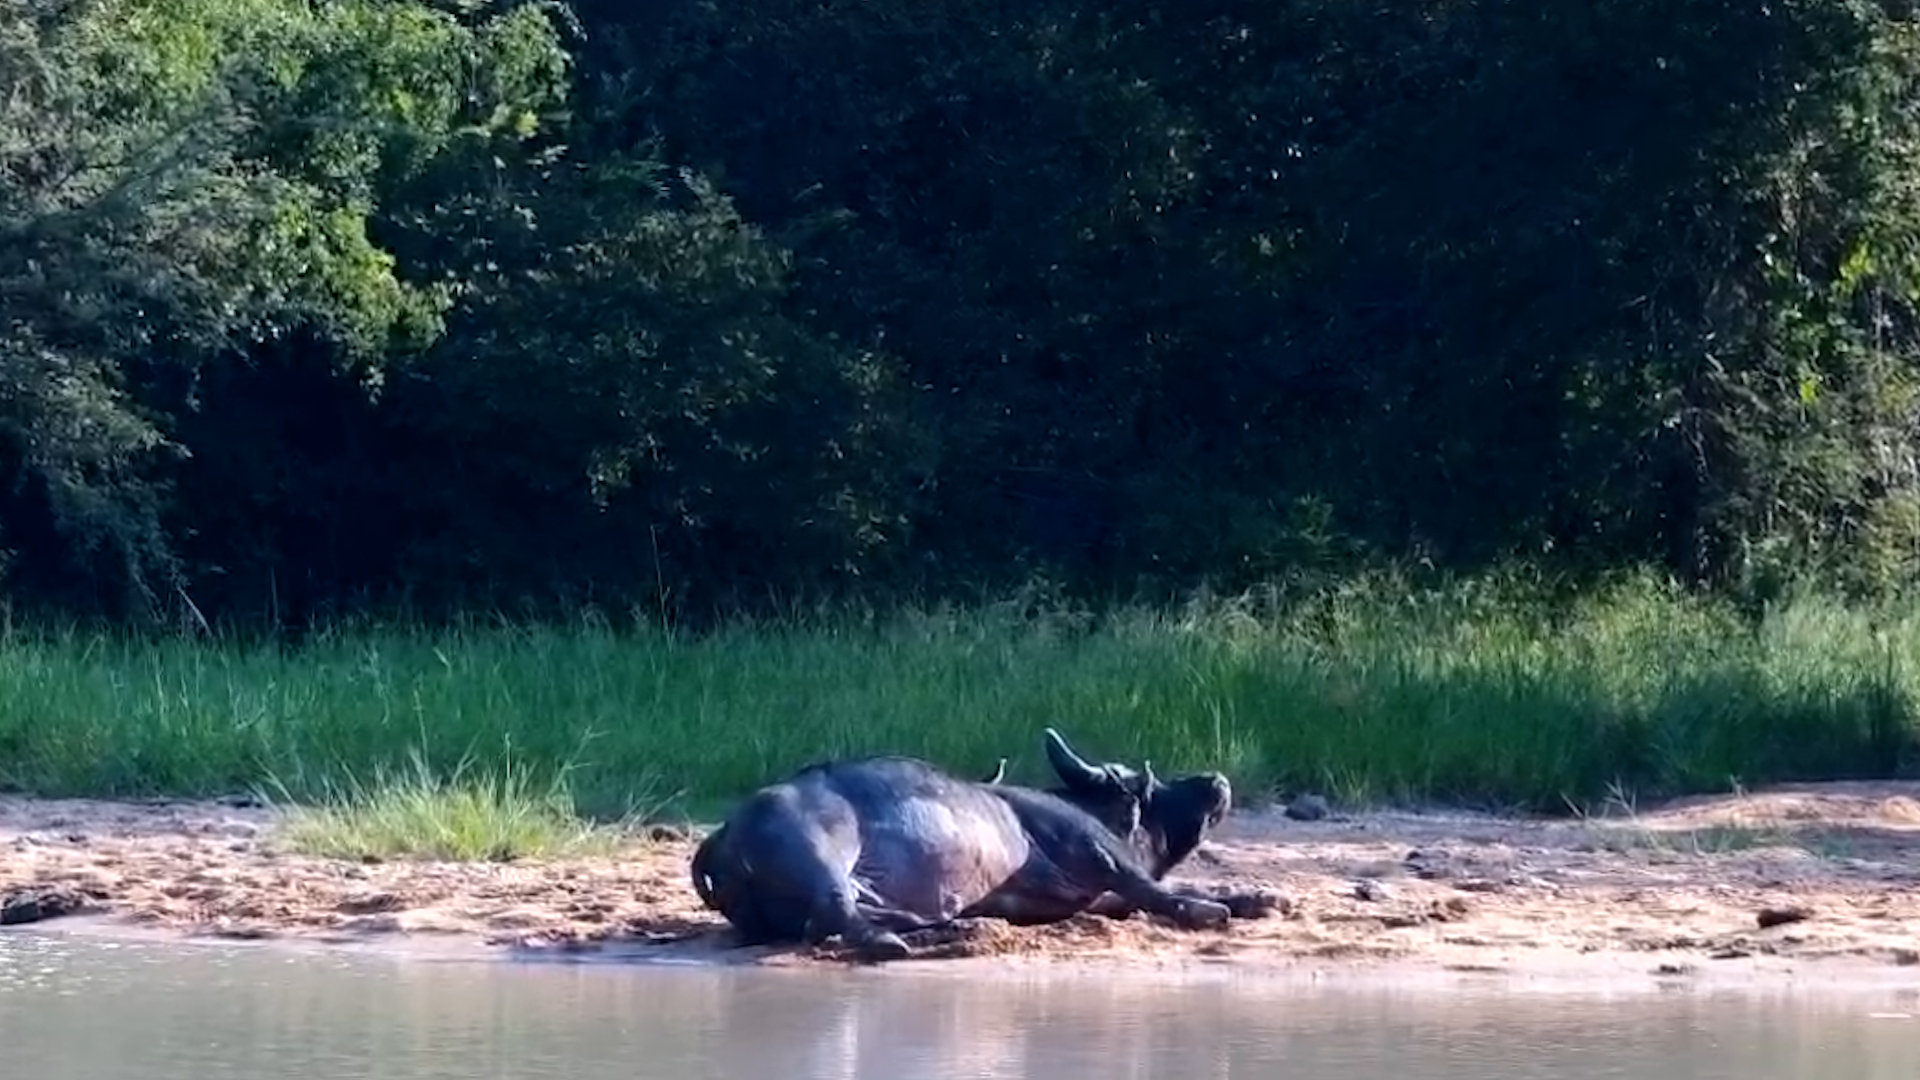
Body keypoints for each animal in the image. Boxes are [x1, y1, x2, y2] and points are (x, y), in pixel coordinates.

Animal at [689, 728, 1239, 961]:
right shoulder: (1094, 846)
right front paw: (1207, 910)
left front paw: (1250, 899)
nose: (1215, 779)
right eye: (1150, 787)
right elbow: (1149, 887)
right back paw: (891, 944)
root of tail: (722, 833)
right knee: (832, 911)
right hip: (821, 853)